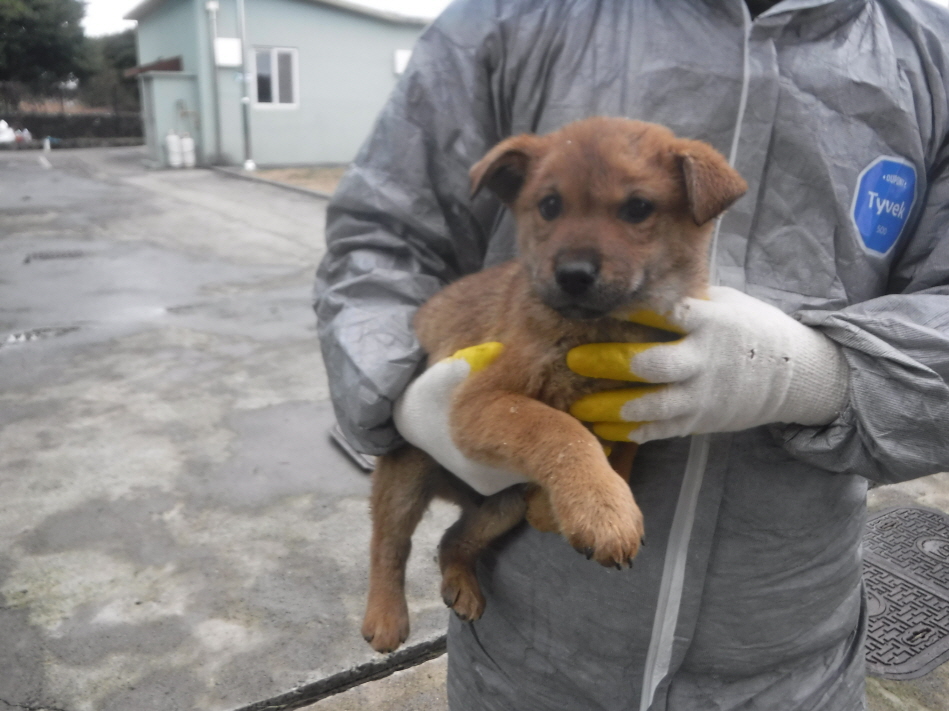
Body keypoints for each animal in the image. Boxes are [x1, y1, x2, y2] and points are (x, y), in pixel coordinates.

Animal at [360, 117, 744, 656]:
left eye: (638, 208)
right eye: (549, 205)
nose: (573, 274)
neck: (597, 330)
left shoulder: (627, 406)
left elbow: (617, 451)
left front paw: (569, 506)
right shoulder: (482, 400)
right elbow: (561, 431)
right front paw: (603, 511)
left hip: (500, 506)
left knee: (451, 539)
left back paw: (463, 581)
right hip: (410, 470)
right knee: (389, 542)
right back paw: (385, 615)